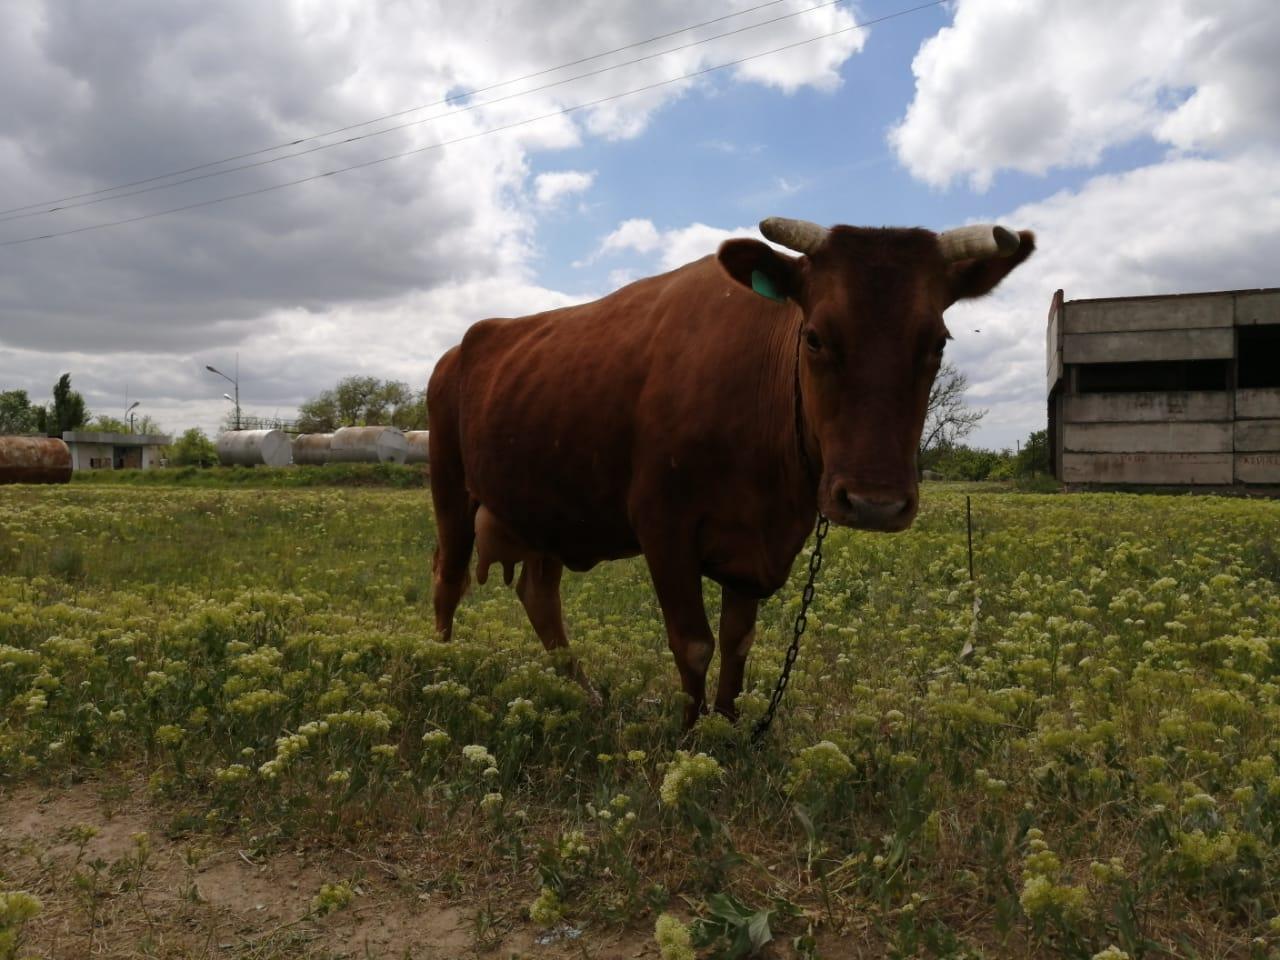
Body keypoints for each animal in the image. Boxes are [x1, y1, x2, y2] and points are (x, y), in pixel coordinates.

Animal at [427, 220, 1029, 727]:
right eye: (814, 336)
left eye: (938, 342)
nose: (873, 502)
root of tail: (459, 348)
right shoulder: (663, 526)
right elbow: (693, 643)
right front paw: (688, 737)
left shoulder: (762, 547)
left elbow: (738, 641)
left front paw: (730, 727)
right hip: (450, 487)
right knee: (448, 580)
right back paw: (439, 670)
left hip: (546, 508)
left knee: (539, 596)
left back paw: (583, 691)